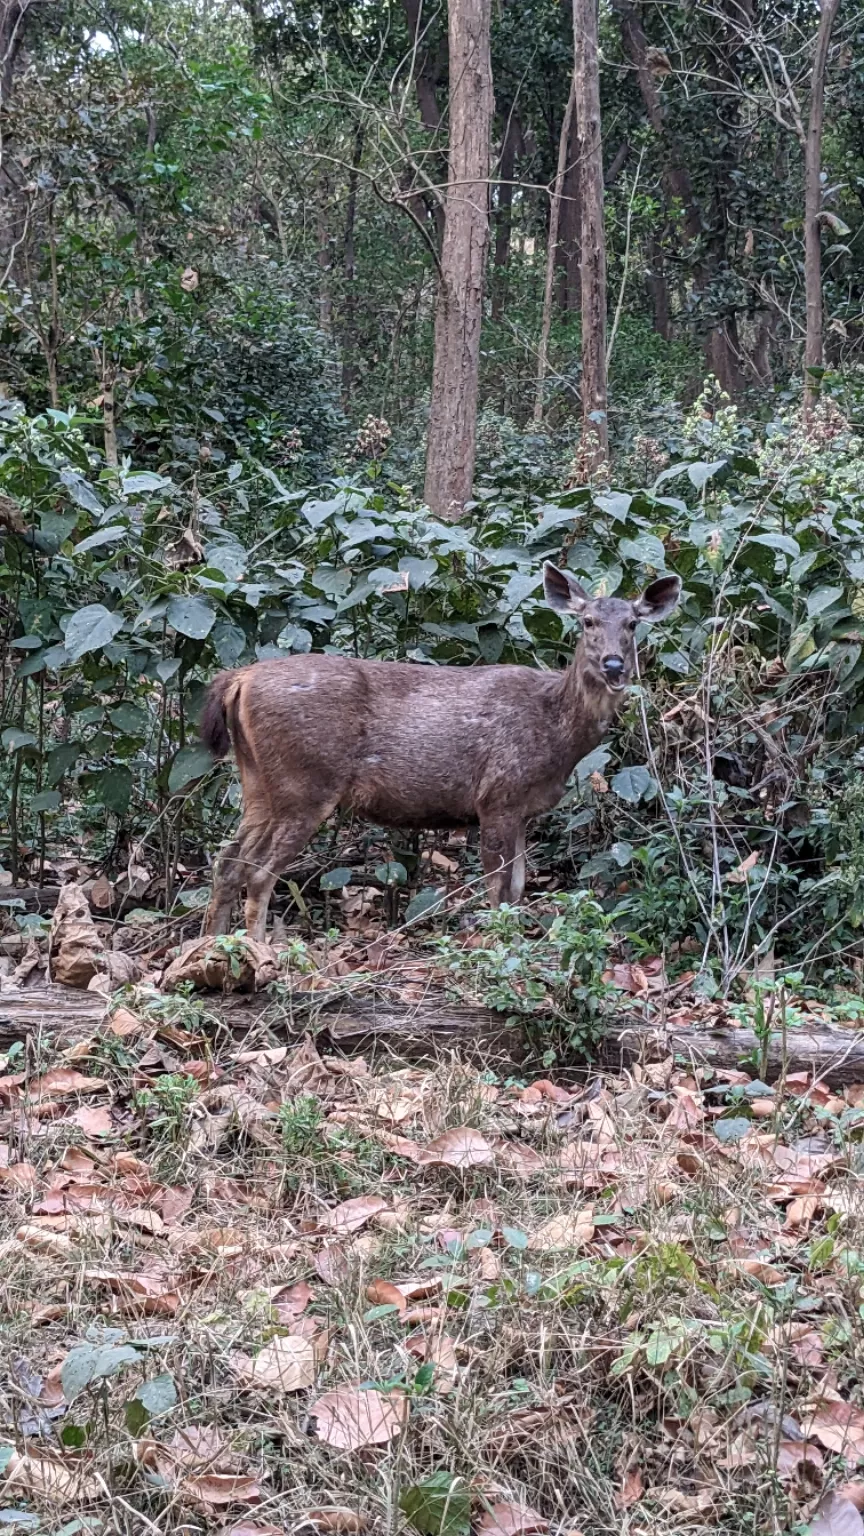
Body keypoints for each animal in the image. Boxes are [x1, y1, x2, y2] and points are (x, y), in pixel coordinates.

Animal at [199, 565, 679, 940]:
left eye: (632, 624)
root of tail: (239, 679)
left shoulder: (523, 808)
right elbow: (498, 888)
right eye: (588, 622)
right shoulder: (497, 796)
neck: (555, 735)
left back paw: (209, 949)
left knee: (227, 859)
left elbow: (518, 888)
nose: (615, 665)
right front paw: (500, 950)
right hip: (305, 782)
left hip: (257, 782)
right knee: (258, 871)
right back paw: (261, 954)